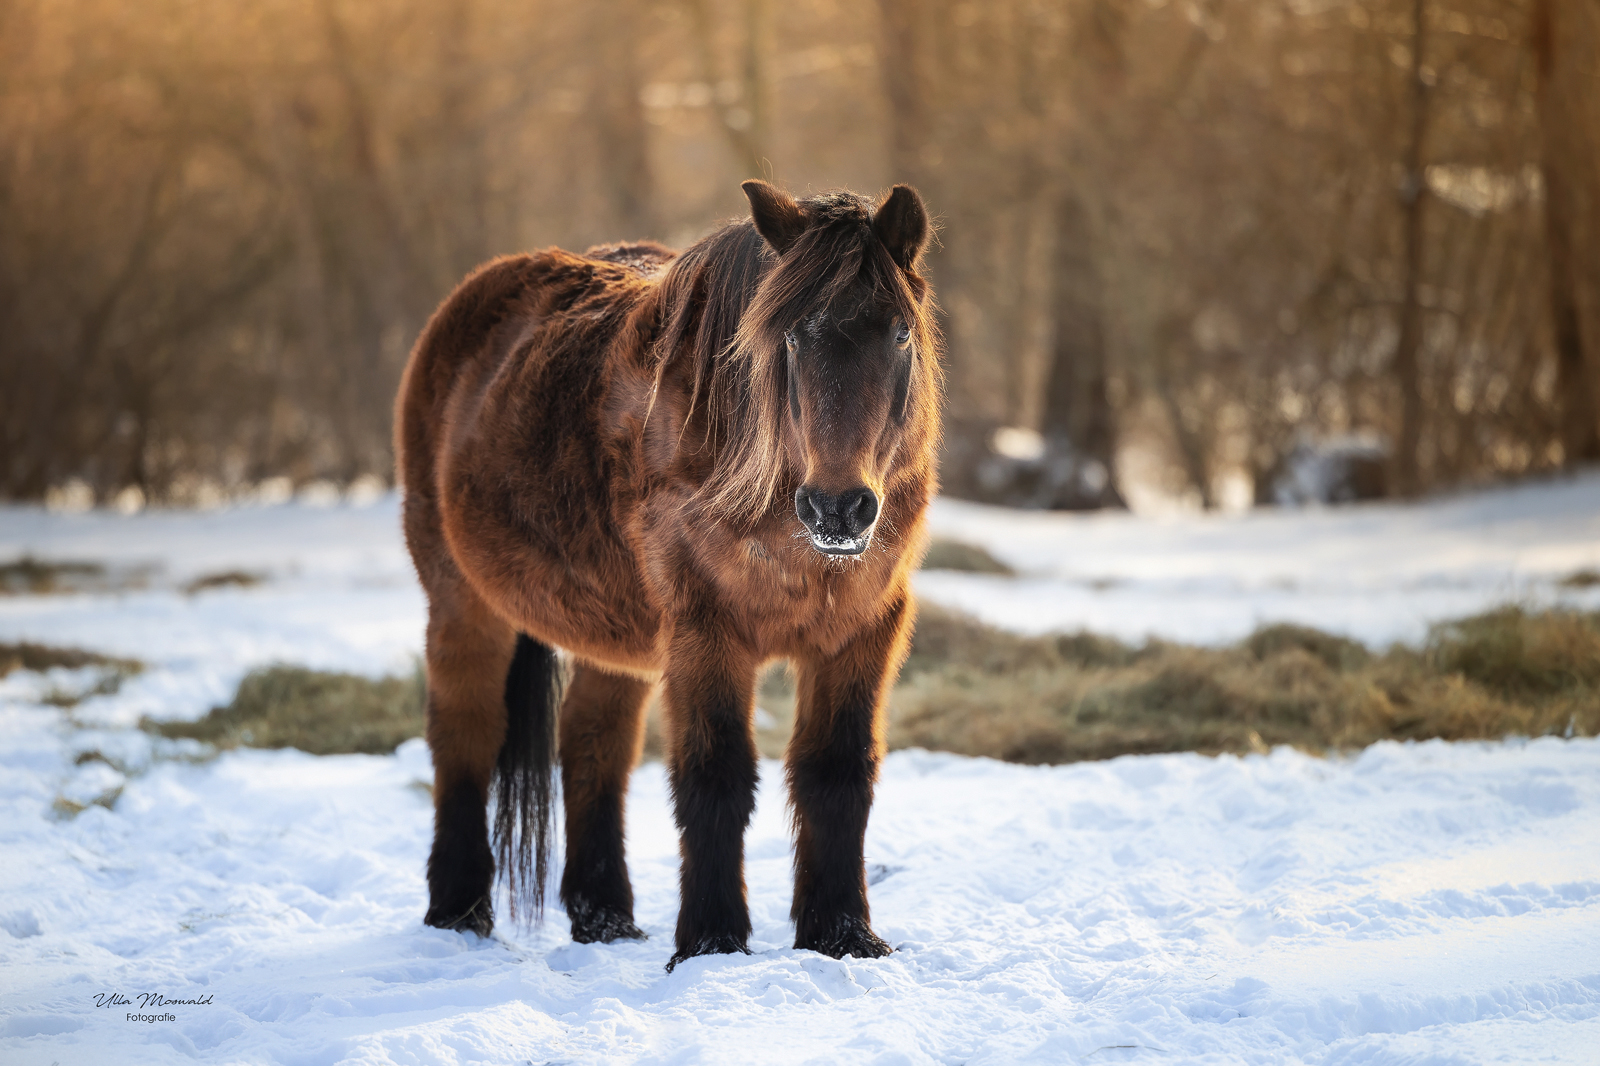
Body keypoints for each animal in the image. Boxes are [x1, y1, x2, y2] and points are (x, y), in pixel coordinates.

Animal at [393, 178, 934, 966]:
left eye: (899, 334)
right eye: (791, 337)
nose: (838, 507)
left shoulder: (861, 632)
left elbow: (837, 774)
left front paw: (842, 938)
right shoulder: (706, 633)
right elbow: (716, 777)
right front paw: (711, 944)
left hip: (613, 636)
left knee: (593, 744)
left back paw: (604, 919)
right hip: (462, 601)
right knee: (464, 733)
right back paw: (459, 913)